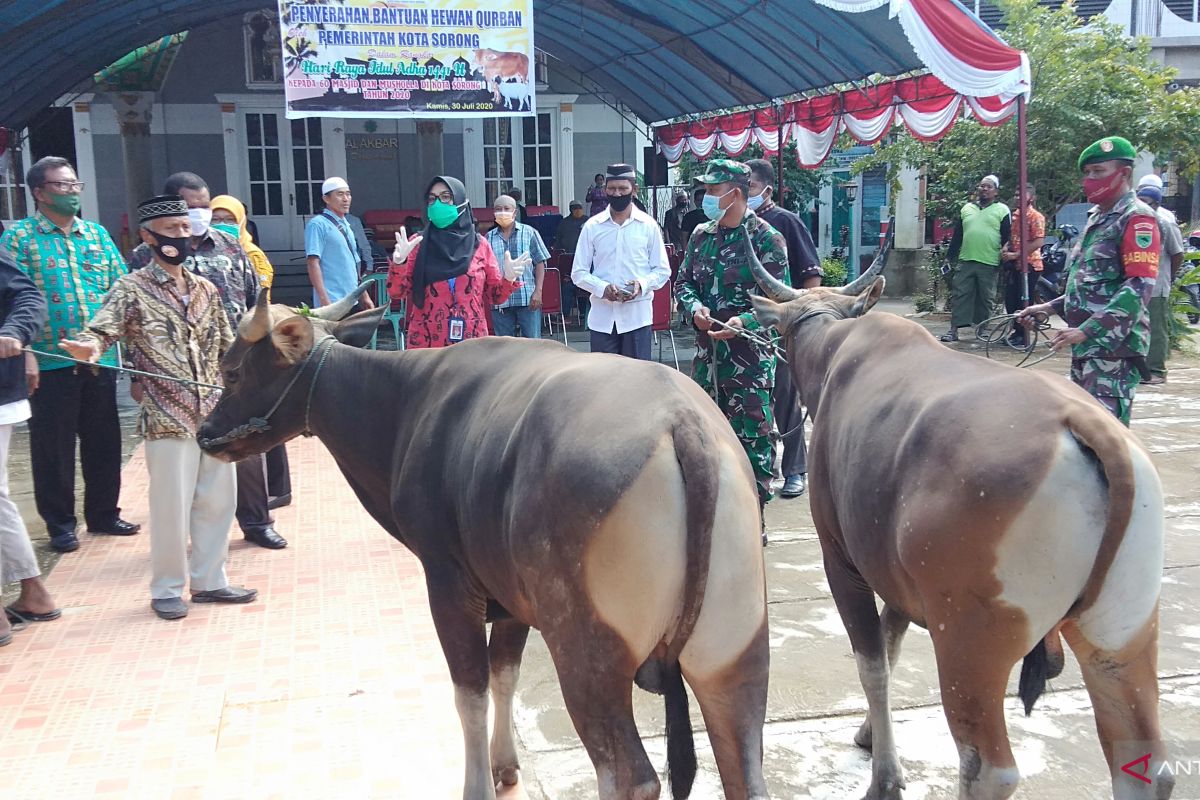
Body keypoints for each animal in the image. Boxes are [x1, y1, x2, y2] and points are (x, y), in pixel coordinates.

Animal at [744, 239, 1166, 800]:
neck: (837, 349)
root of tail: (1086, 426)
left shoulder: (842, 561)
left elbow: (874, 664)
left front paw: (886, 778)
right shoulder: (897, 577)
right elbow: (892, 644)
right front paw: (870, 737)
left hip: (969, 647)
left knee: (987, 766)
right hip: (1122, 639)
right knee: (1142, 761)